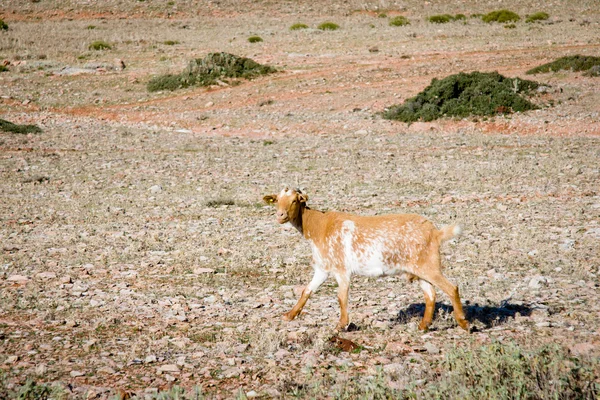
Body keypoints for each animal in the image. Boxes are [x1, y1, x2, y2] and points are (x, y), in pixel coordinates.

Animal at [264, 188, 468, 332]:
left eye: (294, 200)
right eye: (277, 201)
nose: (280, 216)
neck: (317, 227)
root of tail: (436, 232)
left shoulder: (341, 269)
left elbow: (341, 297)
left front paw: (341, 325)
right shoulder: (323, 268)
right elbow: (307, 291)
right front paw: (289, 315)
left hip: (429, 265)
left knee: (451, 288)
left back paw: (464, 323)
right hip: (419, 269)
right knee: (430, 295)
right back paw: (423, 326)